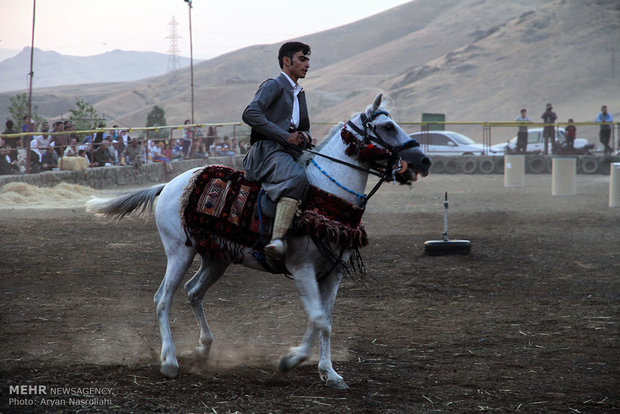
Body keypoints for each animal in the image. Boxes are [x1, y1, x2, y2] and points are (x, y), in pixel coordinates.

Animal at [86, 94, 426, 388]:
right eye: (387, 126)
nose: (422, 160)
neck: (324, 197)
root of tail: (170, 184)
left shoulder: (332, 274)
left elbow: (325, 322)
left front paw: (329, 373)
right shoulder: (302, 269)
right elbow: (317, 318)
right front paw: (292, 360)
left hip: (216, 258)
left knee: (193, 291)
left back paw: (203, 349)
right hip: (179, 253)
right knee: (163, 299)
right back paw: (169, 361)